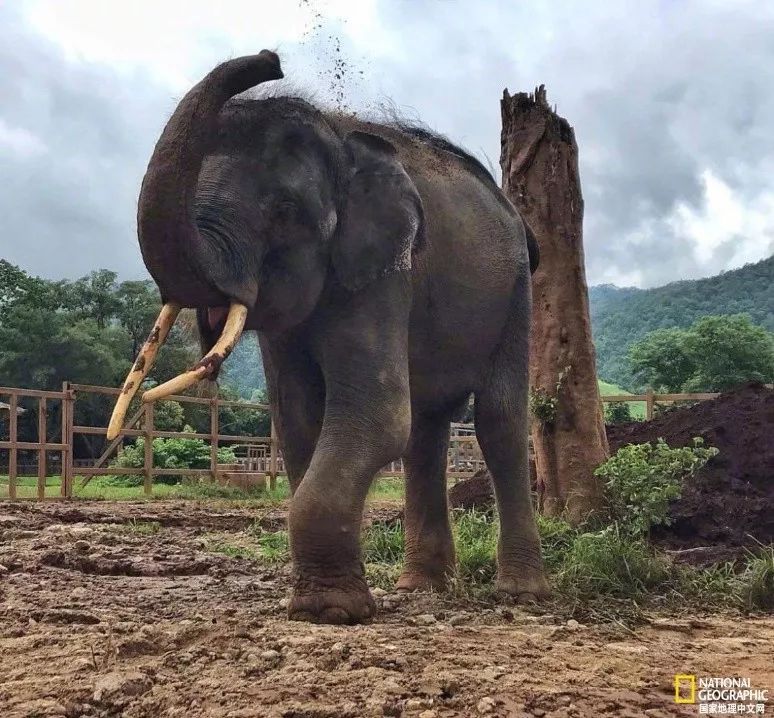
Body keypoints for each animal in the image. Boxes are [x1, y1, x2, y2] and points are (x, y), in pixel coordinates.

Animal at [107, 49, 552, 624]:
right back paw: (420, 587)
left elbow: (376, 414)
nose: (271, 58)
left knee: (498, 420)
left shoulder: (384, 270)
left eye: (282, 212)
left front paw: (330, 611)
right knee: (424, 429)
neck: (338, 137)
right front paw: (323, 603)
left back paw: (521, 595)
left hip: (516, 294)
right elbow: (298, 418)